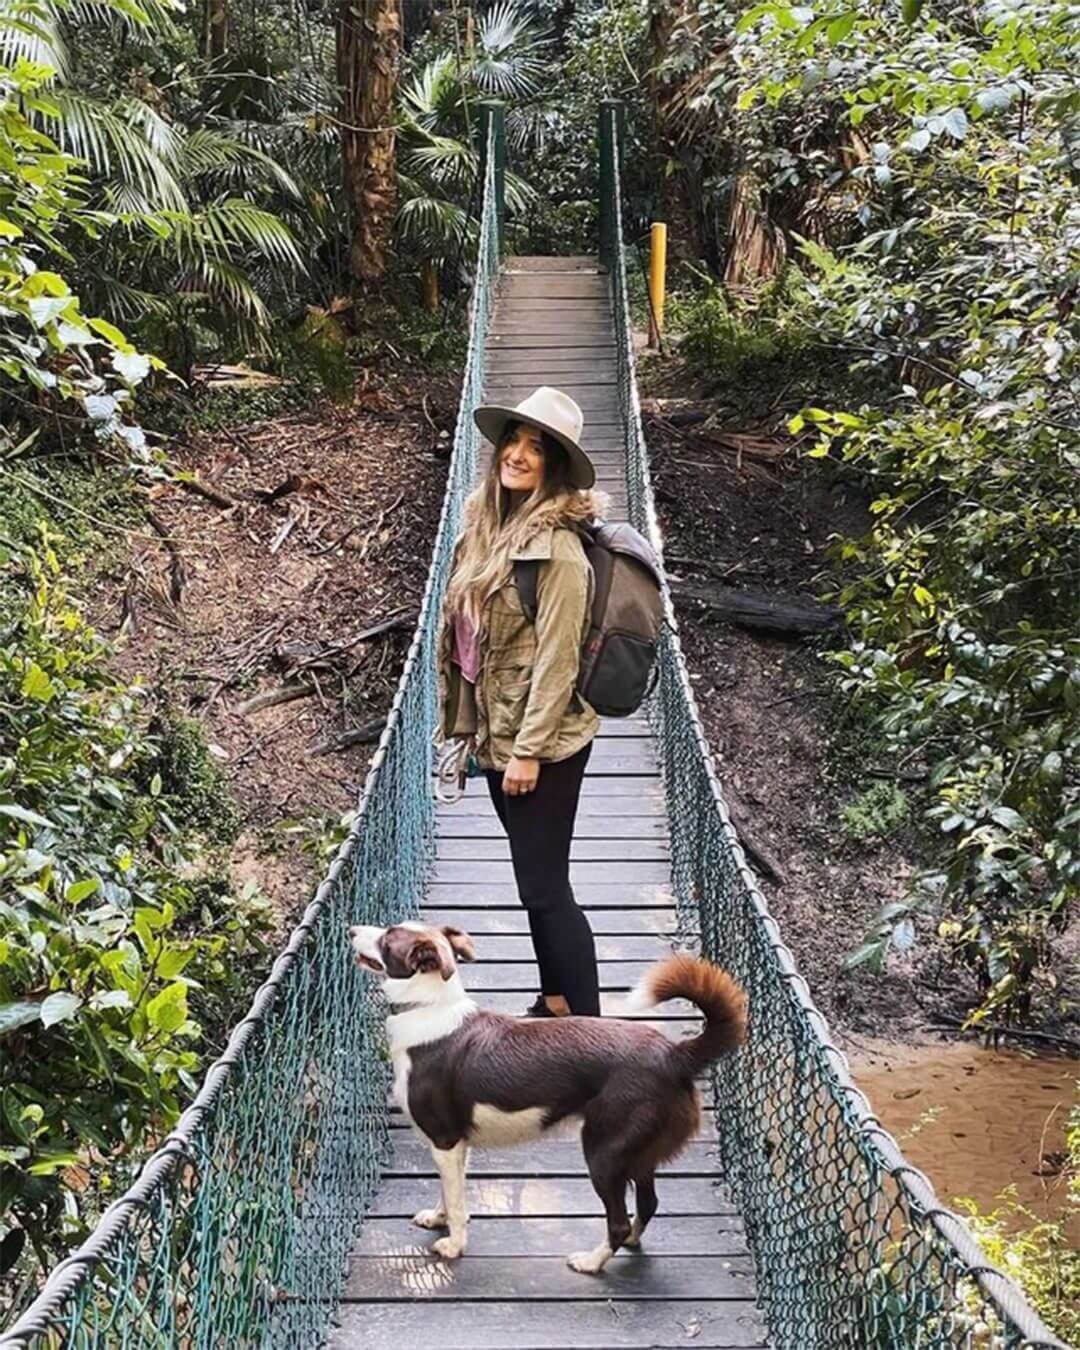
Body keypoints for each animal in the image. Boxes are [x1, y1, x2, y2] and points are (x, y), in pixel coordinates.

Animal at [351, 918, 745, 1274]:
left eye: (388, 937)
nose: (350, 930)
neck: (428, 1006)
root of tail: (674, 1055)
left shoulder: (445, 1139)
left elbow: (457, 1201)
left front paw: (454, 1245)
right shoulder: (458, 1142)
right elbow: (452, 1191)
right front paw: (438, 1218)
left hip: (604, 1152)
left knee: (616, 1221)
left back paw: (590, 1262)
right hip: (637, 1152)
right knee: (648, 1203)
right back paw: (633, 1238)